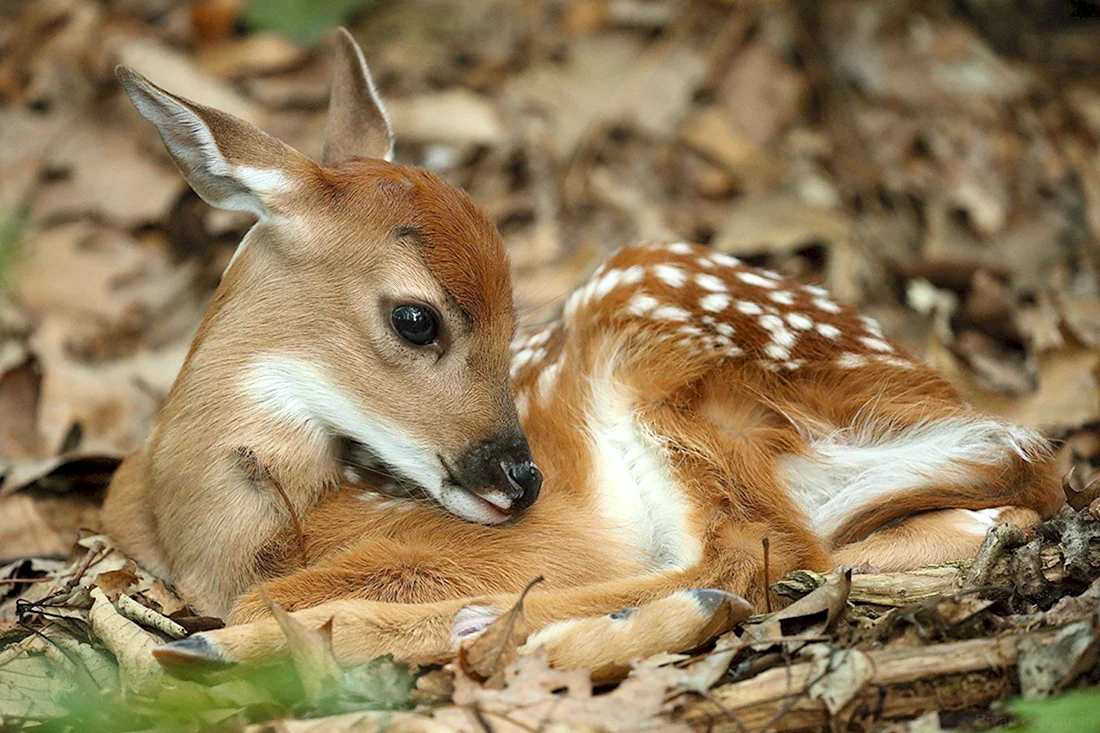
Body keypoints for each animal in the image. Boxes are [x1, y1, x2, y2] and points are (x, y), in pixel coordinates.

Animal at [102, 29, 1064, 679]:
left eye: (513, 313)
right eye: (416, 319)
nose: (523, 478)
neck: (222, 538)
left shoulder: (524, 539)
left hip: (657, 364)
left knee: (751, 555)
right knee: (937, 528)